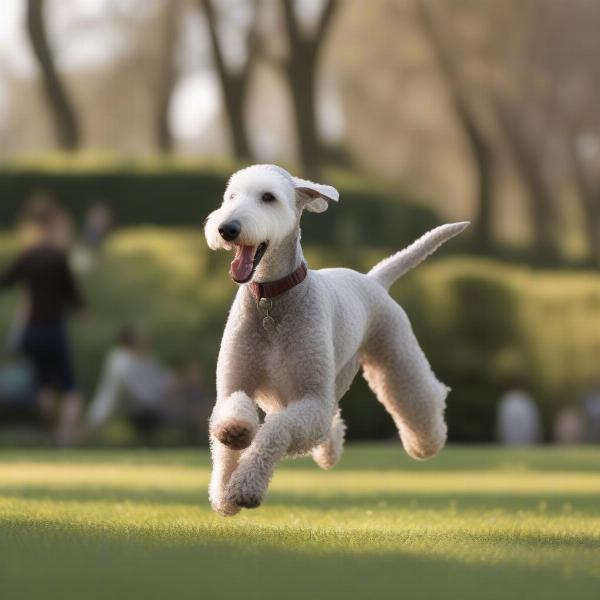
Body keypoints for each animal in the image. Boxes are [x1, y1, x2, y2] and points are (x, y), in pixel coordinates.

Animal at [205, 164, 468, 516]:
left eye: (268, 197)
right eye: (231, 197)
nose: (227, 229)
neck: (270, 300)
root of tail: (373, 279)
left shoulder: (311, 400)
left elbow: (275, 431)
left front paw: (244, 488)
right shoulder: (236, 383)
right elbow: (231, 415)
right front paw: (226, 478)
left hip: (394, 354)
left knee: (422, 396)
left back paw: (426, 444)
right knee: (332, 420)